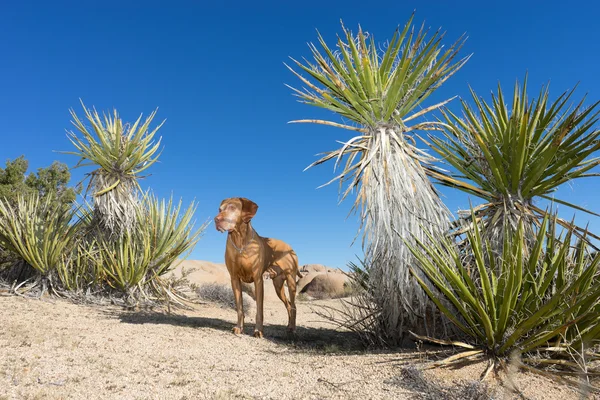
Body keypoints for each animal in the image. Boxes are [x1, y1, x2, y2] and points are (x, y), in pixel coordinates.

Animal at [213, 197, 302, 338]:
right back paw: (288, 326)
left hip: (291, 281)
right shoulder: (234, 279)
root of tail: (290, 247)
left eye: (232, 208)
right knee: (288, 304)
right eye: (219, 209)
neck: (240, 241)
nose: (216, 220)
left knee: (293, 305)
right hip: (278, 286)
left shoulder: (258, 279)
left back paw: (293, 328)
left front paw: (258, 330)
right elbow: (240, 307)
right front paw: (239, 328)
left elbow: (259, 309)